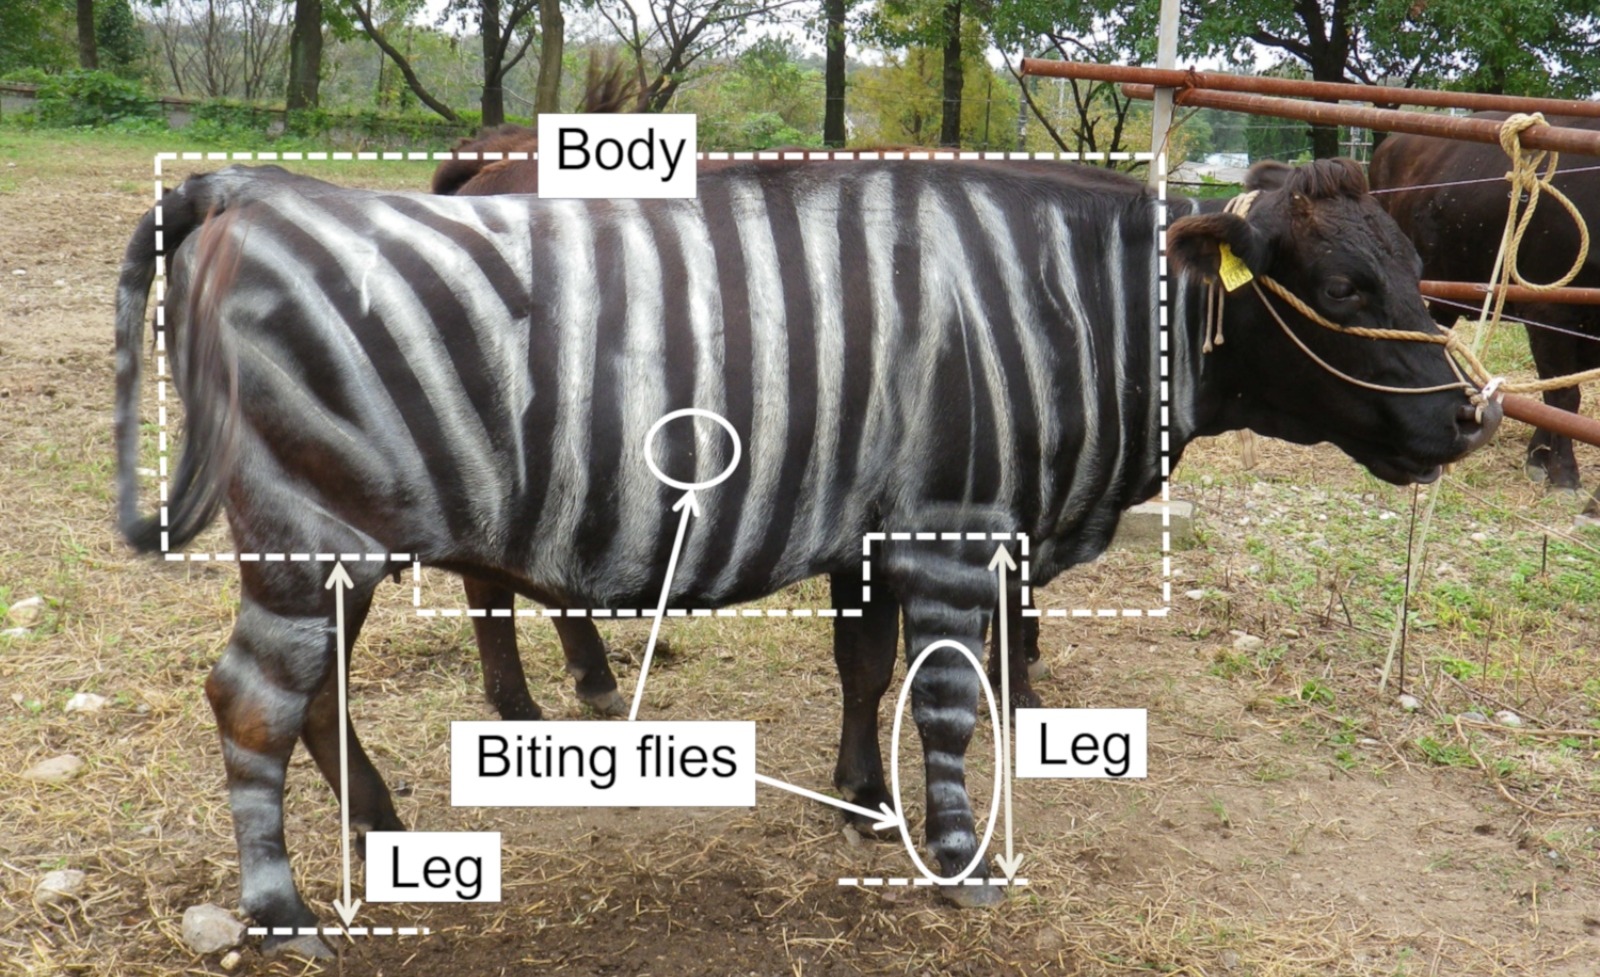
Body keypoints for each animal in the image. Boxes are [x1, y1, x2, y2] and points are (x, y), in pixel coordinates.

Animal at [115, 156, 1498, 958]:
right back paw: (282, 914)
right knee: (252, 700)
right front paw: (958, 860)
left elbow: (862, 666)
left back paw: (382, 829)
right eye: (1343, 289)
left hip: (346, 540)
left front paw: (863, 802)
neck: (1060, 308)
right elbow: (945, 699)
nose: (1474, 421)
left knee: (312, 696)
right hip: (314, 532)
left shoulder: (874, 526)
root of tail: (247, 190)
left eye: (1417, 278)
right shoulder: (949, 525)